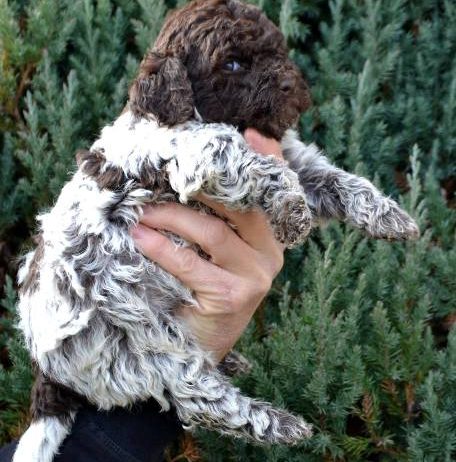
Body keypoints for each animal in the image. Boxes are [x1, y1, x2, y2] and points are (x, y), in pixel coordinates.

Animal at [13, 0, 420, 462]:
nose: (290, 85)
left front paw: (389, 216)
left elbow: (330, 176)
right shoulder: (196, 155)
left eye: (279, 52)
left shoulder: (296, 159)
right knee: (196, 397)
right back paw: (280, 425)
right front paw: (291, 211)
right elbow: (260, 165)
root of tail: (49, 379)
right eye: (233, 64)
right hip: (140, 343)